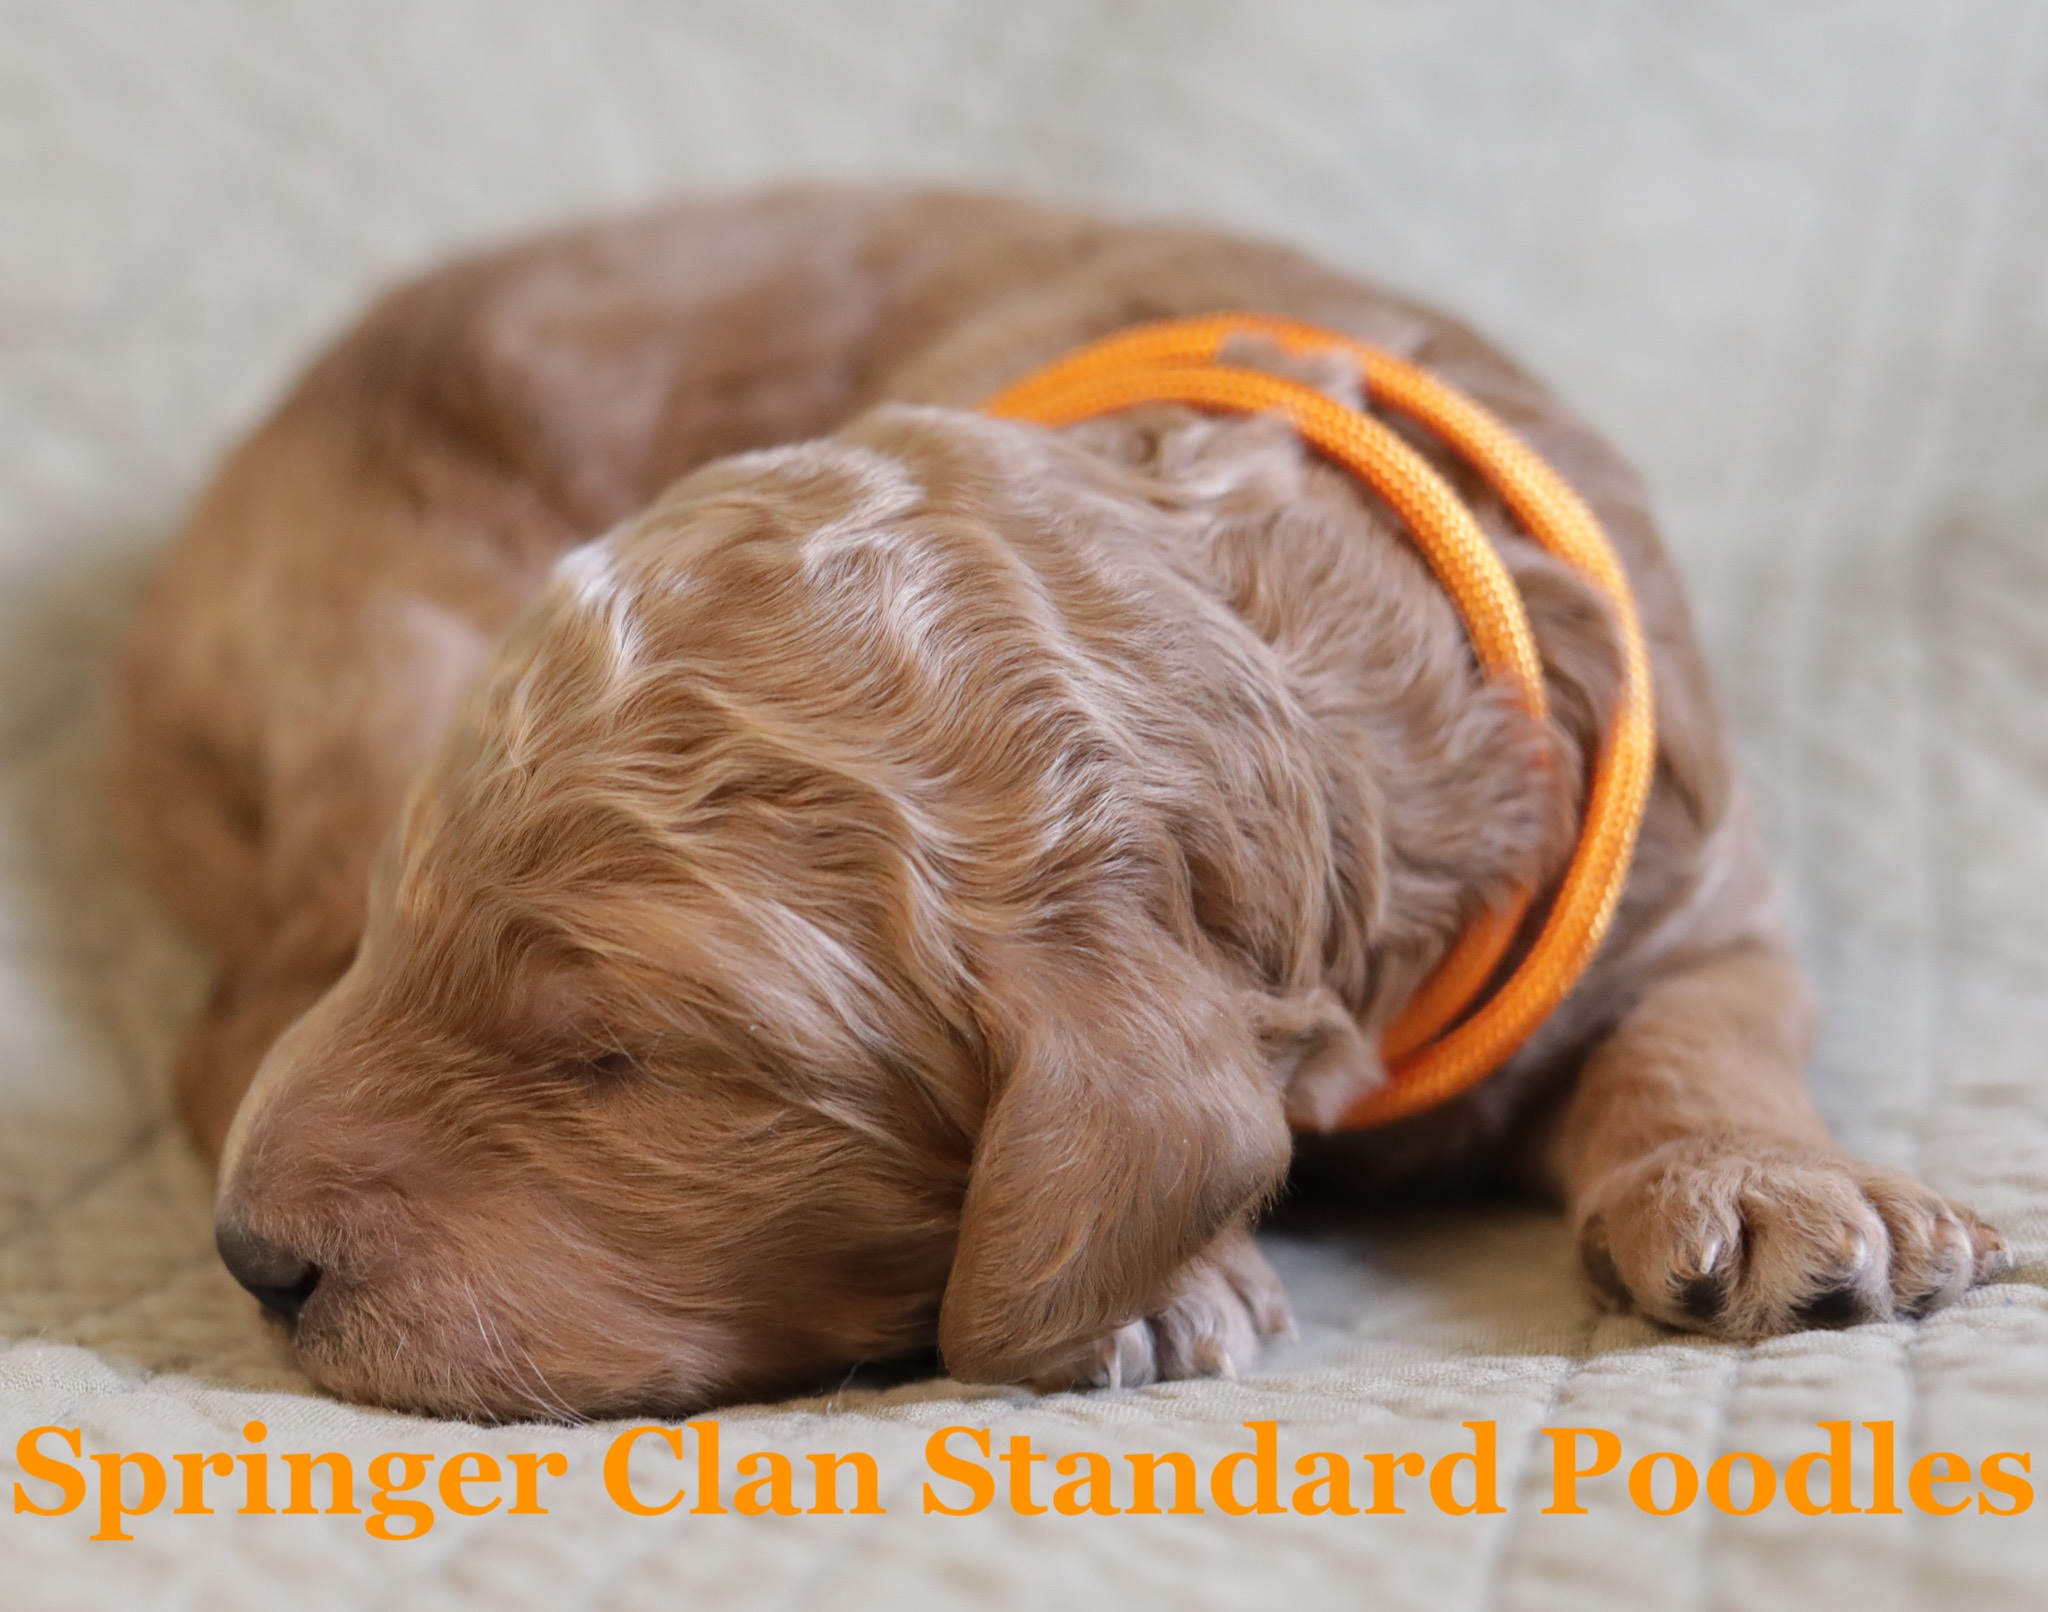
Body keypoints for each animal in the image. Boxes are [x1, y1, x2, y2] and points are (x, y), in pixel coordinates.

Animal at [111, 187, 2008, 1419]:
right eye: (410, 936)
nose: (257, 1260)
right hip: (371, 638)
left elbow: (1704, 1028)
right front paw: (1171, 1282)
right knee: (232, 1021)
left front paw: (1773, 1188)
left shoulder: (1690, 887)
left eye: (612, 1062)